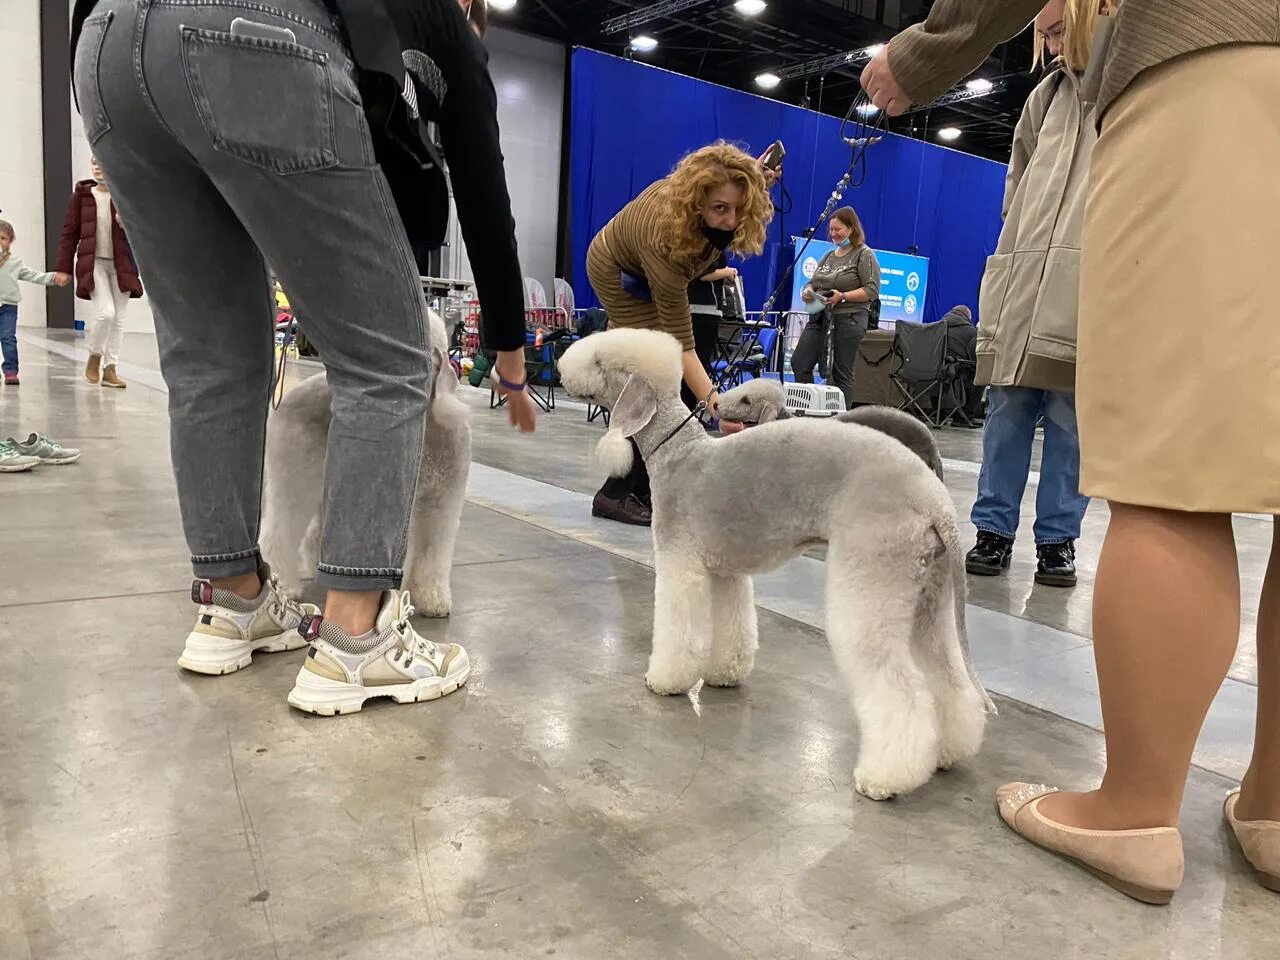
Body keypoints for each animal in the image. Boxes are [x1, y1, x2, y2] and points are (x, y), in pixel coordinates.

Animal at [259, 312, 471, 619]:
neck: (428, 425)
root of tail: (287, 396)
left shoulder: (442, 502)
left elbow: (433, 553)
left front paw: (432, 599)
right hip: (295, 475)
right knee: (278, 532)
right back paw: (282, 585)